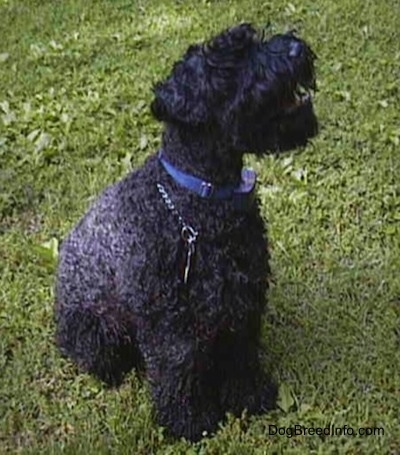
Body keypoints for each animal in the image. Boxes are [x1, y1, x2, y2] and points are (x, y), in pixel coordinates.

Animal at [55, 24, 318, 442]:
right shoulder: (172, 324)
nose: (295, 49)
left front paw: (249, 397)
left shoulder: (242, 300)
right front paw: (190, 422)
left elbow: (242, 354)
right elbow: (178, 369)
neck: (198, 198)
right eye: (229, 61)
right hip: (99, 335)